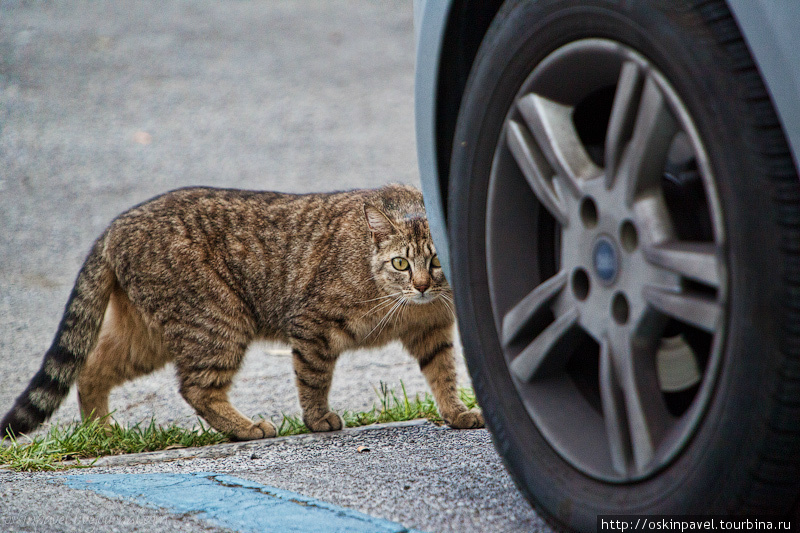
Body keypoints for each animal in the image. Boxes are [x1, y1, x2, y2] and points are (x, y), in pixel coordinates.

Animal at [0, 185, 482, 438]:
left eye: (436, 261)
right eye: (401, 263)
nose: (421, 285)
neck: (403, 304)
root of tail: (117, 224)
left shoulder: (433, 330)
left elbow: (443, 375)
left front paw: (456, 413)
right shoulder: (311, 325)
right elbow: (313, 379)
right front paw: (317, 419)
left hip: (148, 337)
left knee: (92, 368)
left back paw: (101, 430)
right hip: (216, 323)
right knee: (196, 388)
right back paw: (246, 428)